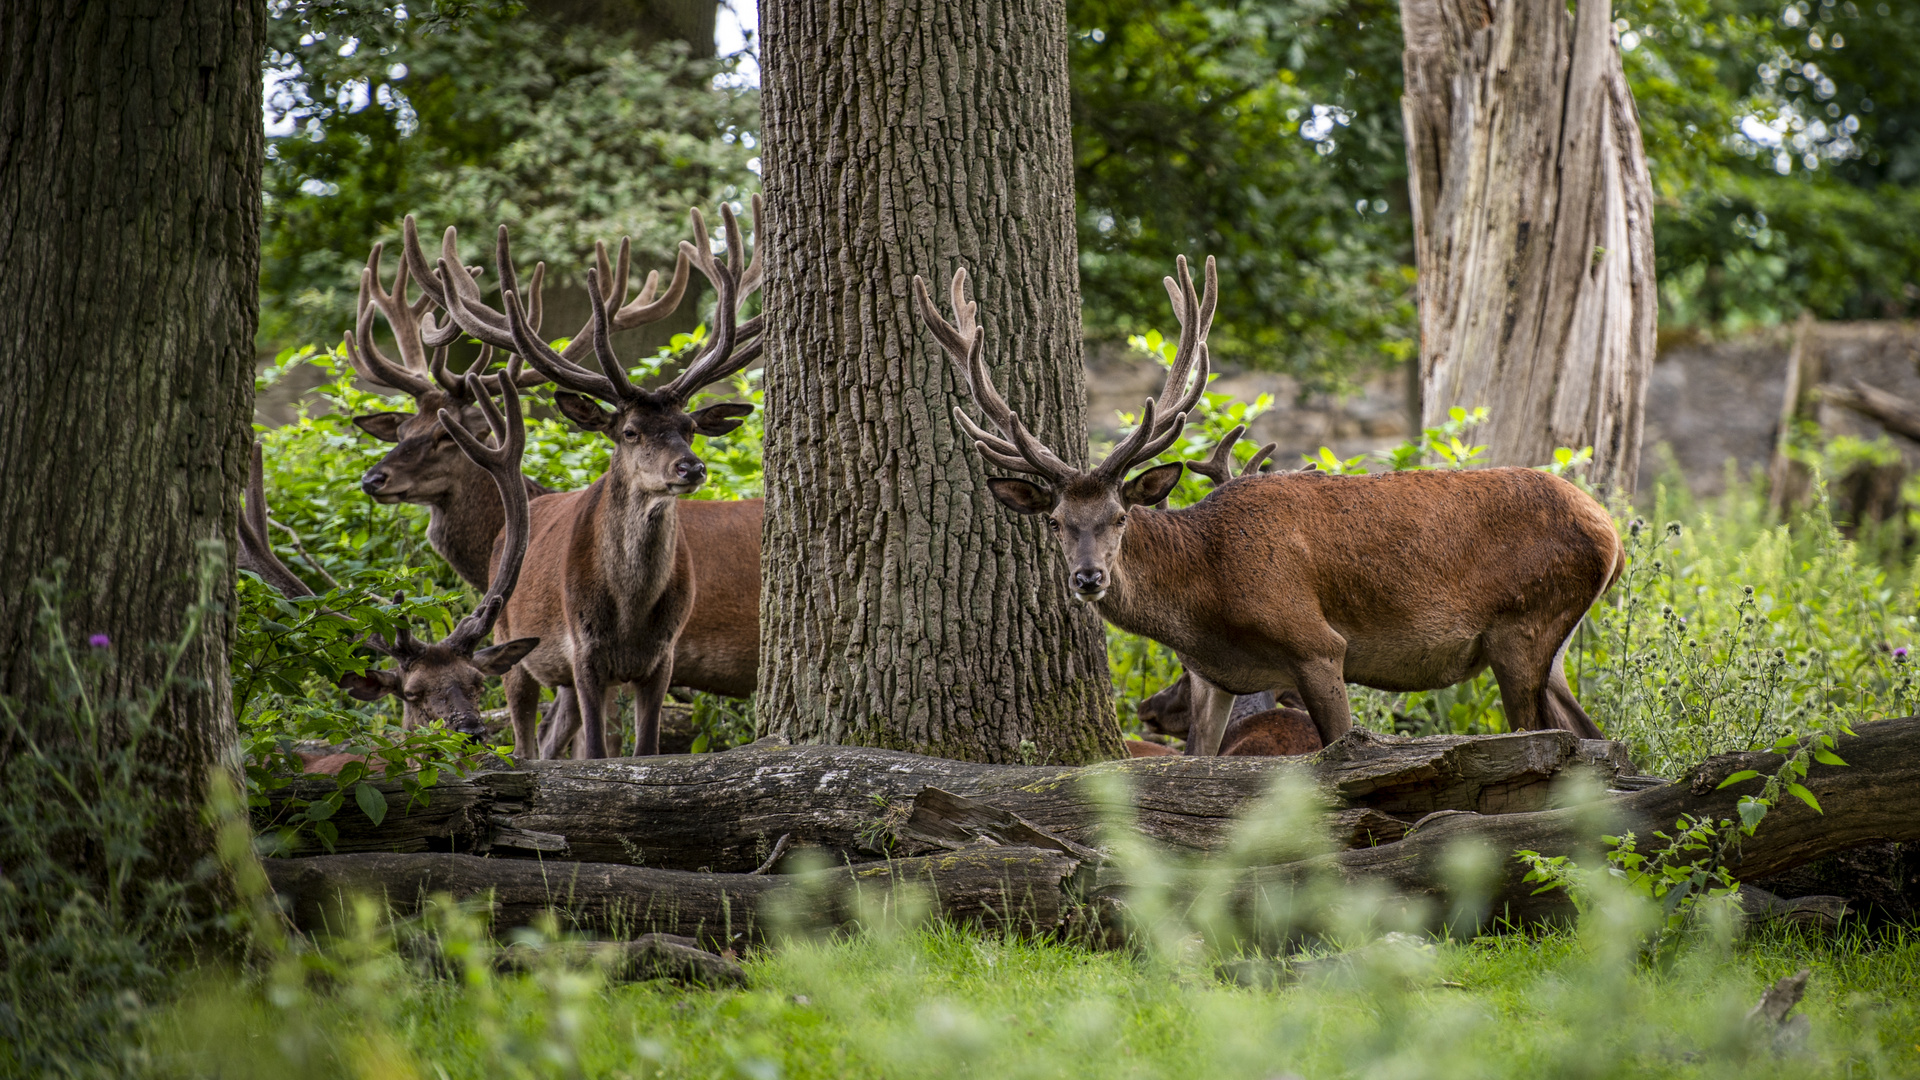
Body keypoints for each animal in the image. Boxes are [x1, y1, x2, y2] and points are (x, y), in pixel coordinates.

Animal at [913, 255, 1620, 753]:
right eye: (1057, 522)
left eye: (1120, 516)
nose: (1089, 578)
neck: (1208, 597)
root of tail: (1610, 533)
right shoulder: (1215, 678)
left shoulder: (1317, 643)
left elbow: (1341, 749)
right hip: (1552, 646)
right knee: (1593, 738)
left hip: (1524, 624)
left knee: (1553, 738)